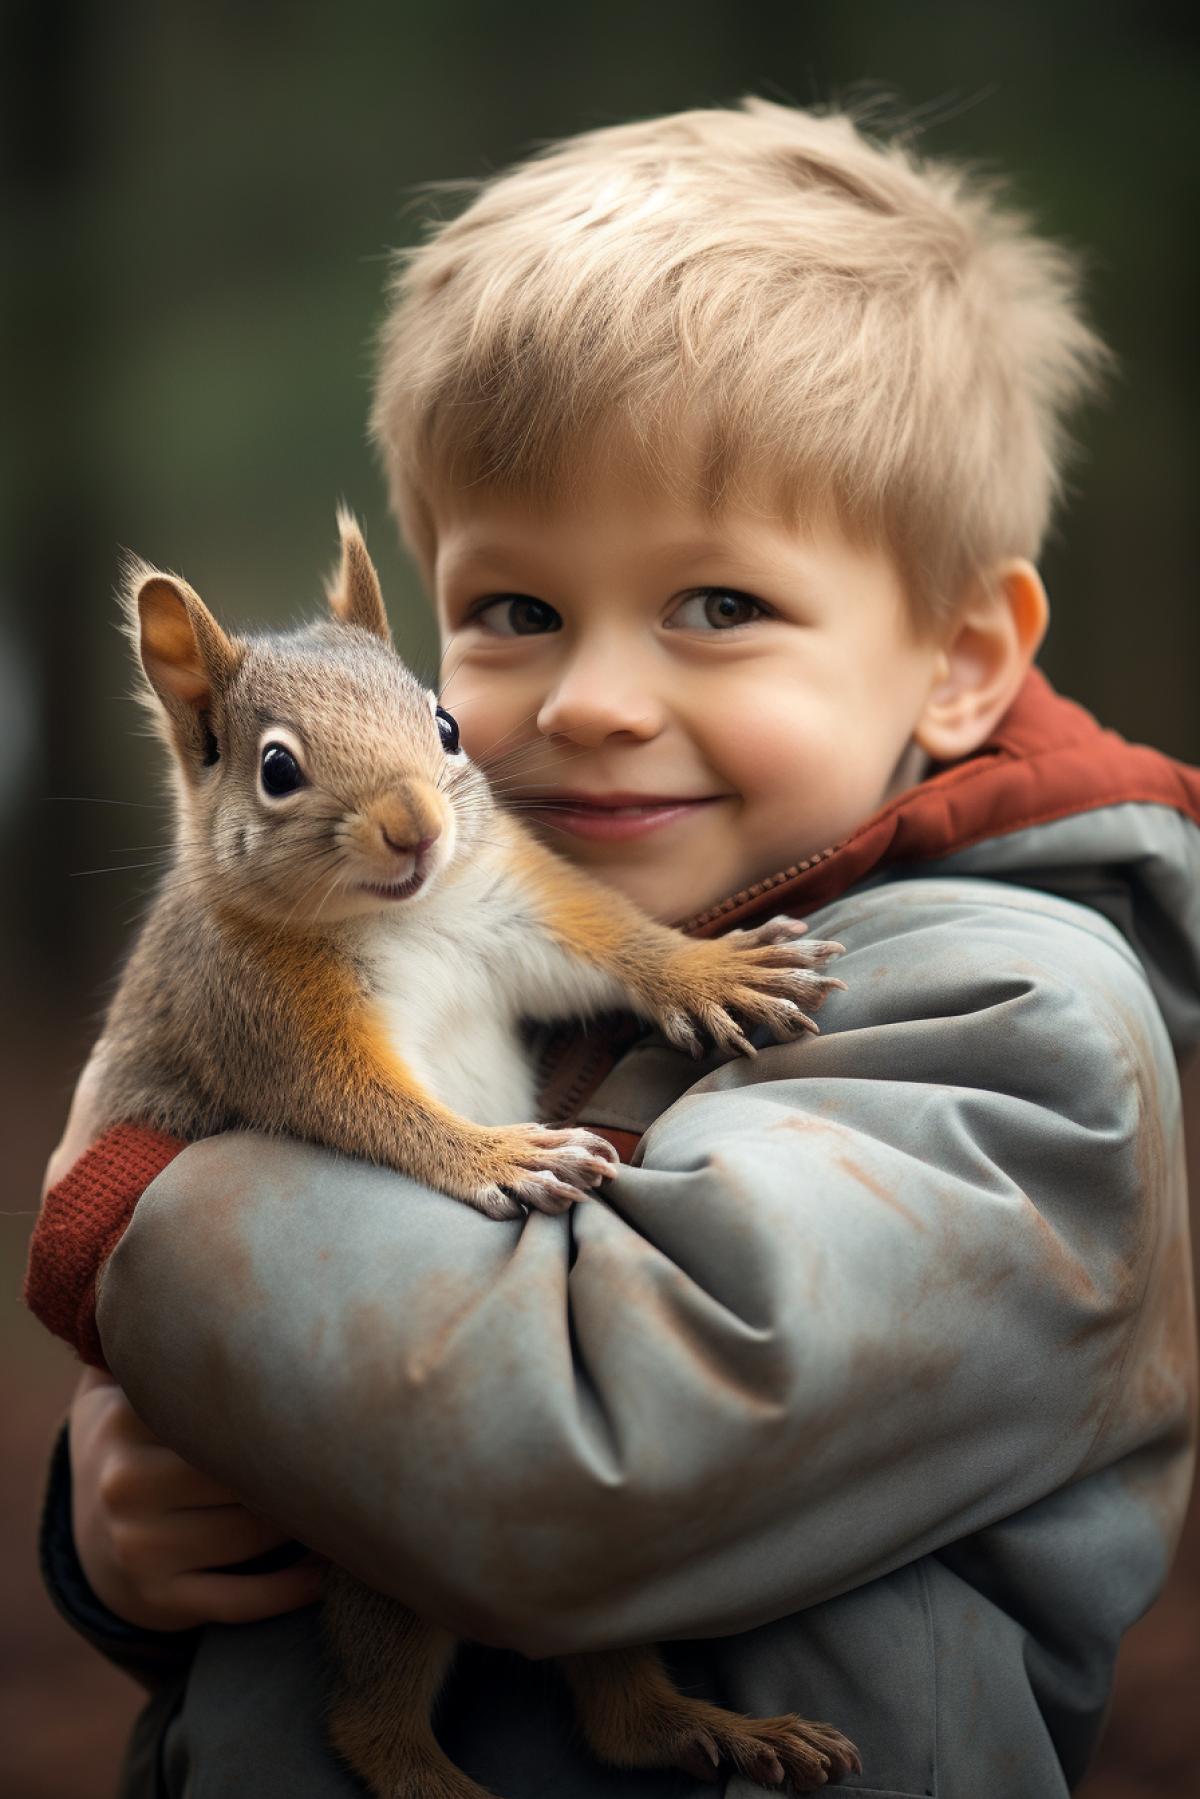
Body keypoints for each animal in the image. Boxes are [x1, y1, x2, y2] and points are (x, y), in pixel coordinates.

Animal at [89, 509, 861, 1798]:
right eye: (277, 768)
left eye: (444, 723)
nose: (417, 823)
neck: (405, 914)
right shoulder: (265, 1017)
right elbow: (366, 1108)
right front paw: (498, 1155)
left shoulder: (522, 907)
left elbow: (615, 939)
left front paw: (710, 968)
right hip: (382, 1543)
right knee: (367, 1711)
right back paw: (433, 1769)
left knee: (610, 1698)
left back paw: (713, 1726)